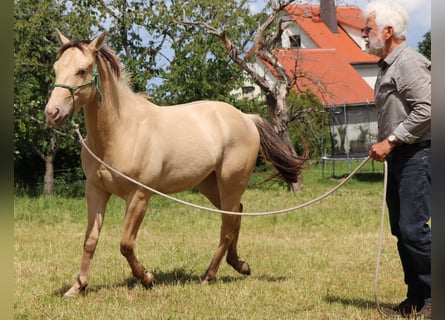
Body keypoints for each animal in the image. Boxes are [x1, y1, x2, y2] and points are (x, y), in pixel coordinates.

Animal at [45, 30, 304, 298]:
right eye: (56, 68)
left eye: (82, 70)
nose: (52, 113)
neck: (121, 131)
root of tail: (246, 118)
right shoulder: (96, 191)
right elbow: (90, 240)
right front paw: (77, 287)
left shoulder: (139, 196)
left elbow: (126, 244)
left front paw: (147, 278)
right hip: (209, 184)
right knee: (236, 215)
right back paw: (239, 264)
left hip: (230, 182)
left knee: (228, 224)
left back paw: (209, 275)